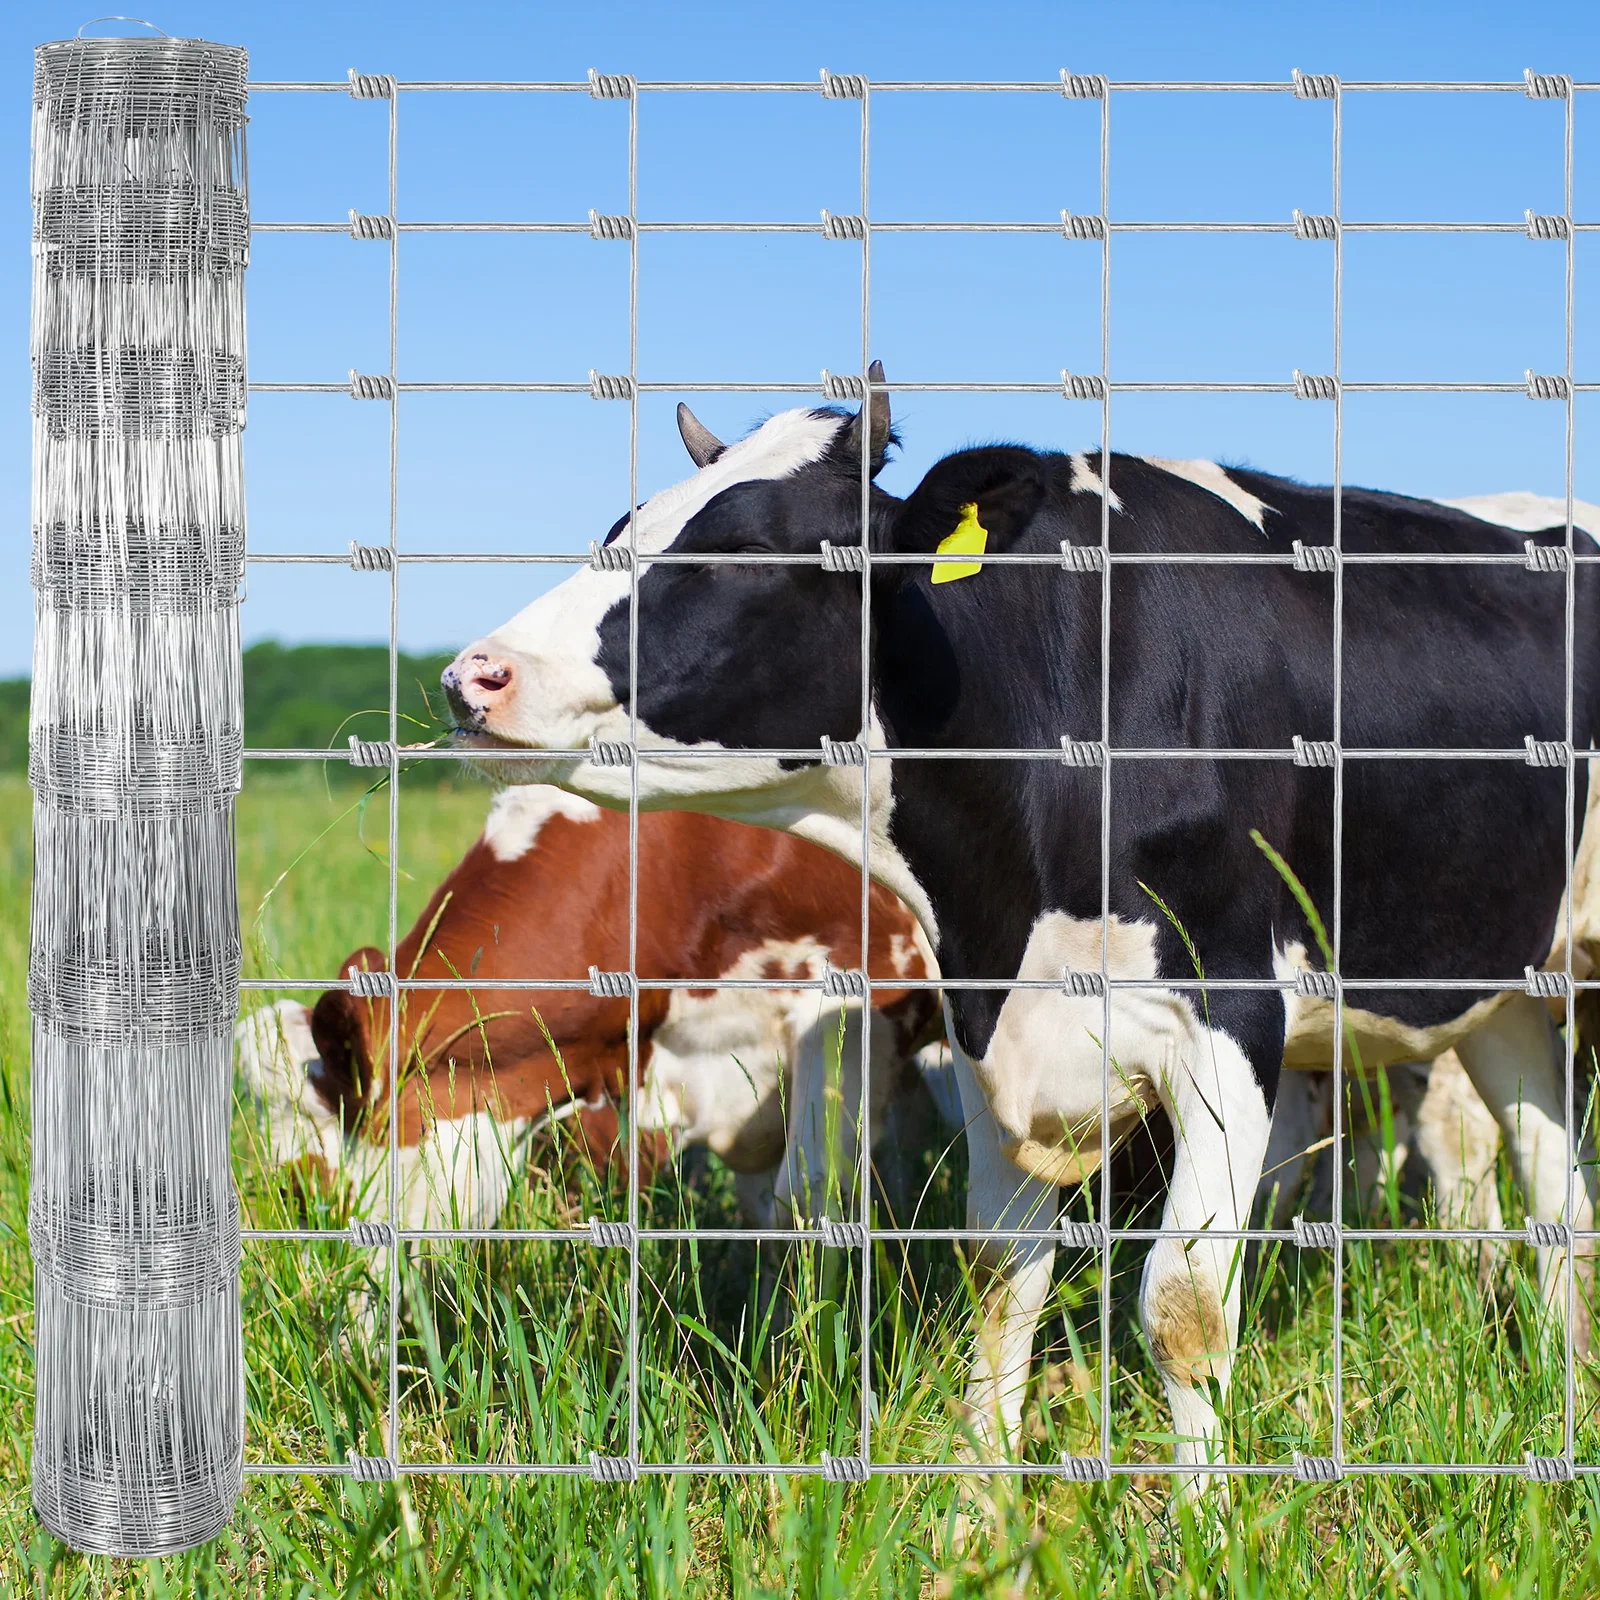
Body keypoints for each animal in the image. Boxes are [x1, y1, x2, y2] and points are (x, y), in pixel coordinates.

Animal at [440, 377, 1600, 1499]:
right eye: (621, 525)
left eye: (747, 550)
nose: (472, 675)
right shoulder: (989, 1020)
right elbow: (1002, 1279)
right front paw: (976, 1509)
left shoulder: (1230, 1014)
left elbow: (1183, 1306)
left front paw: (1205, 1524)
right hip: (1505, 986)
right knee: (1553, 1185)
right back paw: (1567, 1380)